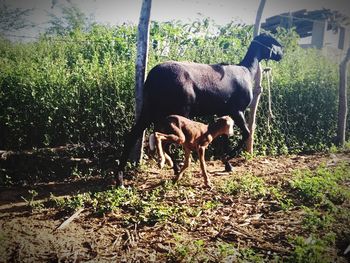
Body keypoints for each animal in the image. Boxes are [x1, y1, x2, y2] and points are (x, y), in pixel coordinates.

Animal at [116, 33, 284, 186]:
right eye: (274, 41)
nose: (282, 54)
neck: (248, 70)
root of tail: (152, 77)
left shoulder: (224, 113)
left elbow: (225, 137)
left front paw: (227, 164)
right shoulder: (237, 110)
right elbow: (246, 133)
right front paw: (229, 158)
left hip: (150, 108)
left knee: (133, 137)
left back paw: (121, 179)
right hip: (178, 111)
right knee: (166, 142)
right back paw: (174, 168)